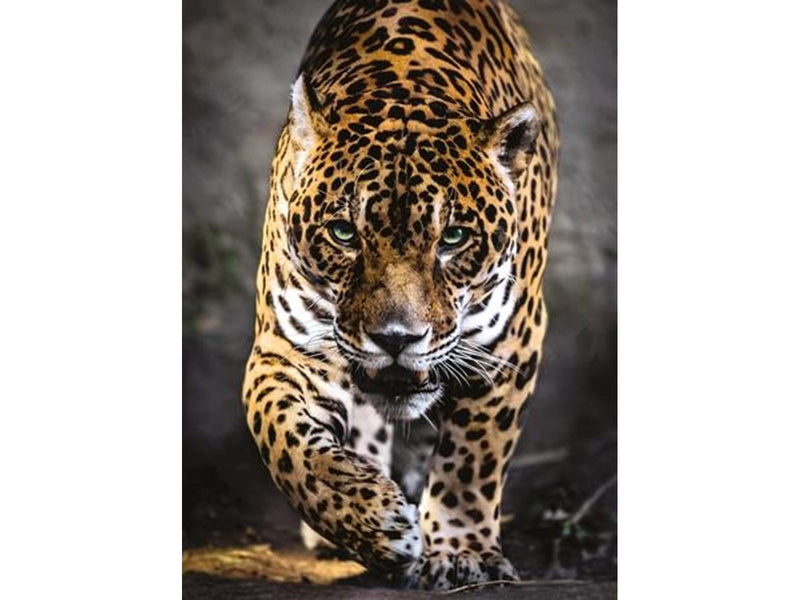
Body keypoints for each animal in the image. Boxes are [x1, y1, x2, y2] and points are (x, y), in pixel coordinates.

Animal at [242, 0, 558, 590]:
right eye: (344, 233)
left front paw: (461, 552)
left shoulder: (509, 345)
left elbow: (472, 459)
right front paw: (373, 522)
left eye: (453, 238)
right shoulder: (285, 347)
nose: (396, 339)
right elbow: (284, 440)